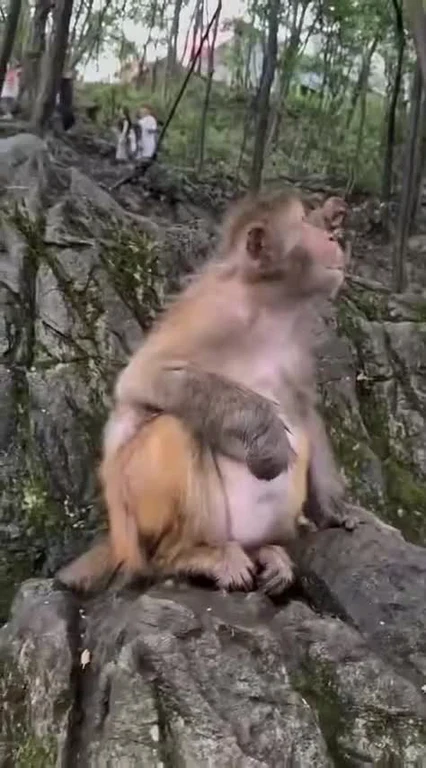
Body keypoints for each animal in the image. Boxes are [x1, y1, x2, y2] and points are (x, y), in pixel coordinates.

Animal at [57, 191, 350, 596]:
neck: (269, 305)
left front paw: (332, 505)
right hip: (137, 525)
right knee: (176, 427)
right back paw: (193, 556)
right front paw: (266, 433)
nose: (334, 237)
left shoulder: (297, 338)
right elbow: (142, 380)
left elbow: (304, 408)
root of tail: (118, 543)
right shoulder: (215, 313)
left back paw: (265, 552)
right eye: (304, 223)